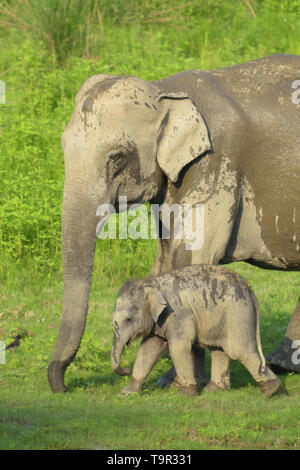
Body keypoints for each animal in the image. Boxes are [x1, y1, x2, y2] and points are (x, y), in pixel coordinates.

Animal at [111, 264, 280, 396]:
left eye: (128, 319)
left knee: (237, 351)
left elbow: (178, 348)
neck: (151, 283)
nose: (126, 369)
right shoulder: (159, 321)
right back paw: (213, 390)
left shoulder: (178, 314)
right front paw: (127, 393)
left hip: (238, 314)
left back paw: (272, 390)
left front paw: (186, 394)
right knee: (218, 349)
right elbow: (149, 348)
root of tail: (250, 289)